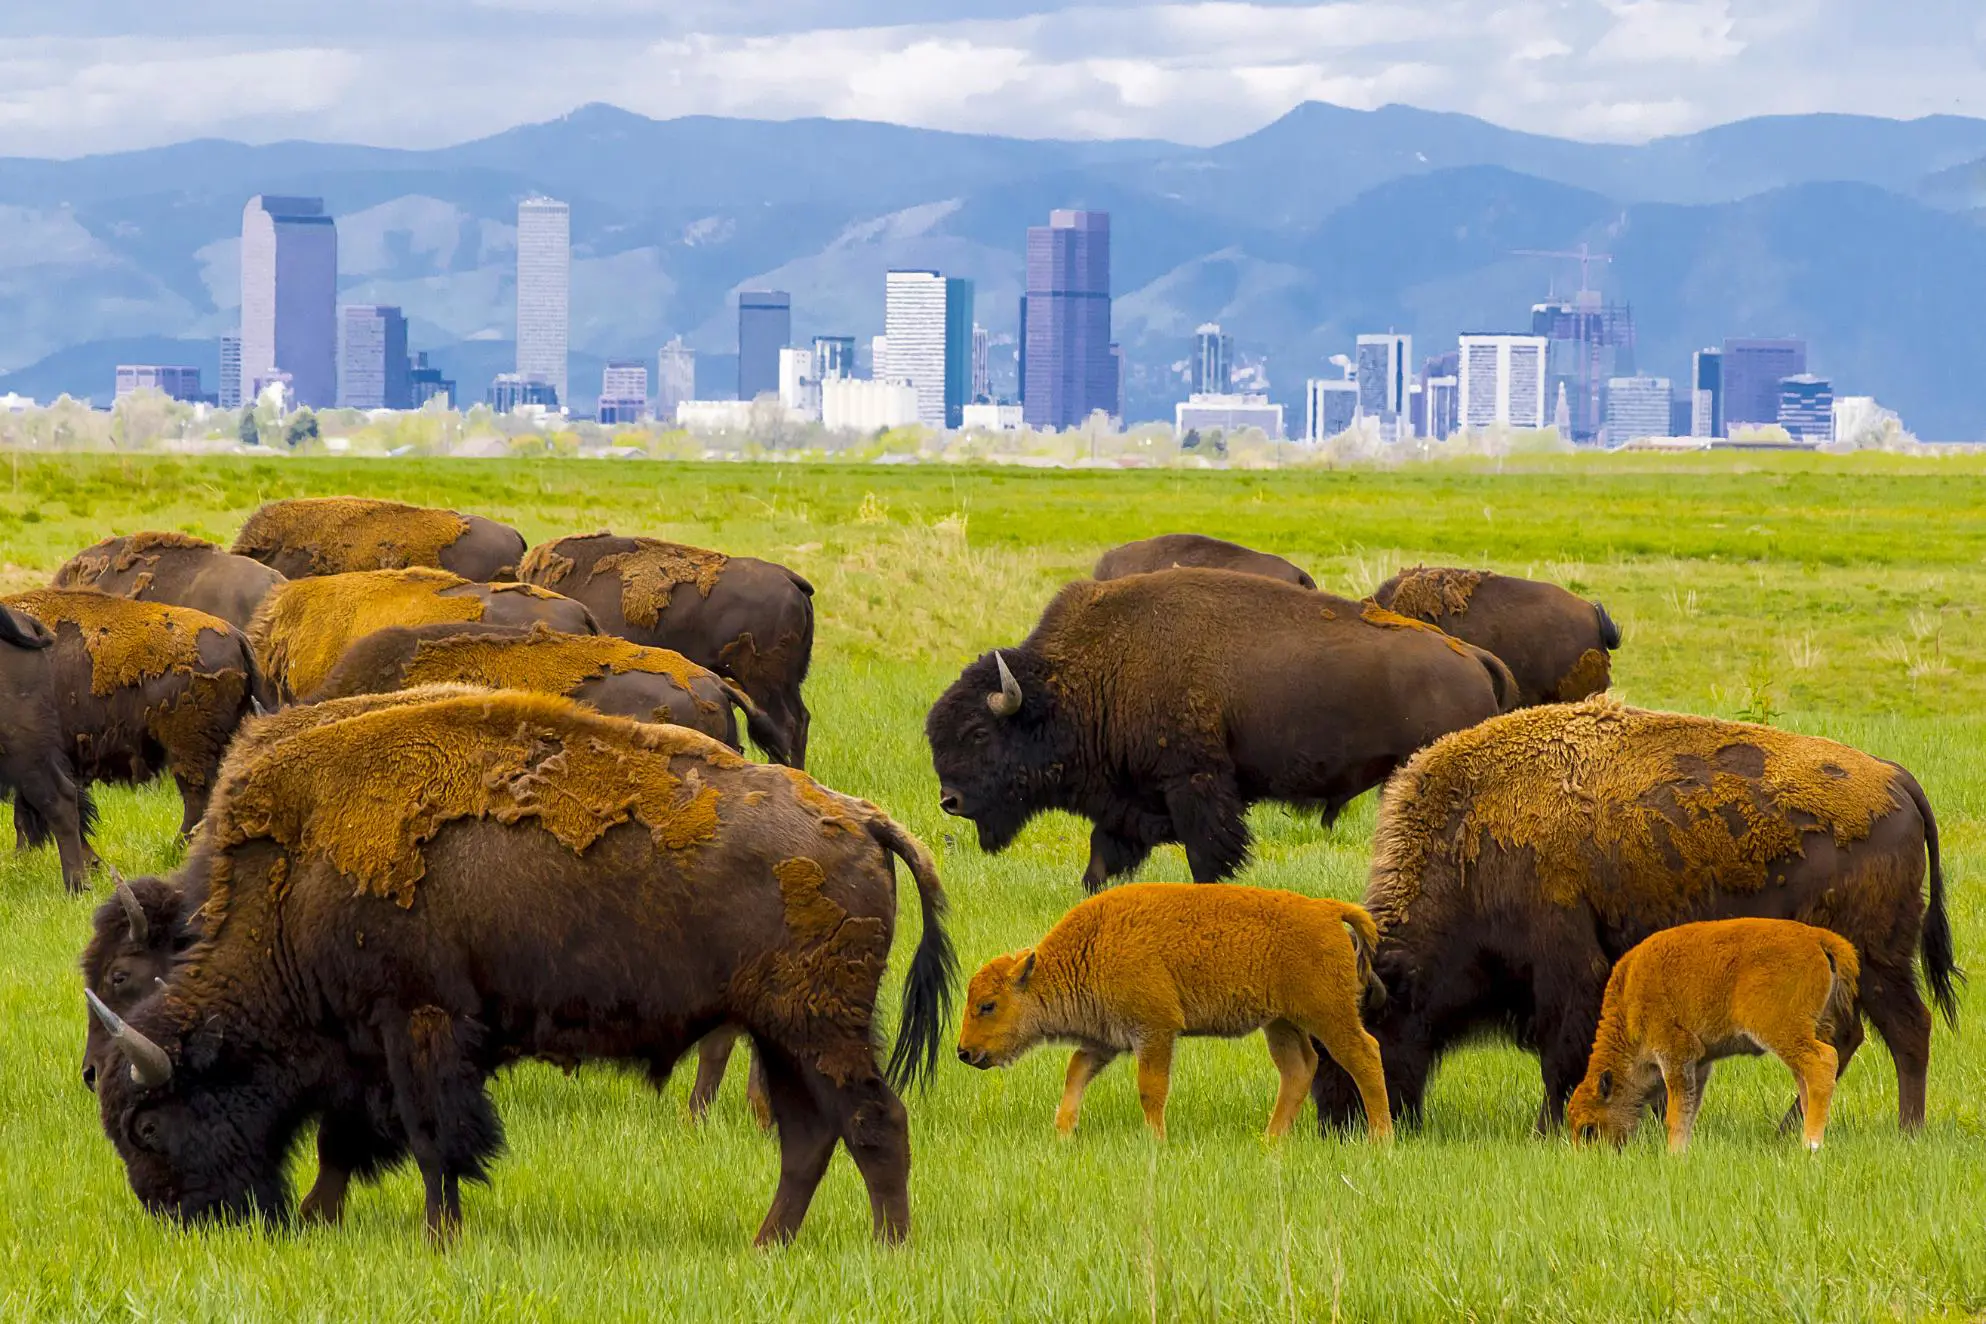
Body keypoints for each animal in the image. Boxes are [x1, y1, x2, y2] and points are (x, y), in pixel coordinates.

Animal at [88, 689, 954, 1244]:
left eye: (148, 1124)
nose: (175, 1216)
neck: (295, 871)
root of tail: (861, 819)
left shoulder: (417, 1023)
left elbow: (432, 1138)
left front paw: (437, 1237)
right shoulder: (366, 1045)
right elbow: (356, 1137)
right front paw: (321, 1217)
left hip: (819, 1029)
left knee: (875, 1122)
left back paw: (890, 1249)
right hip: (780, 1035)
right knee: (810, 1137)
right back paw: (767, 1244)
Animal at [926, 569, 1515, 889]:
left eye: (979, 733)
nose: (950, 801)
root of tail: (1473, 657)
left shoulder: (1196, 784)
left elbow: (1207, 856)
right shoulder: (1128, 803)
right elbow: (1101, 860)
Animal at [1310, 696, 1958, 1135]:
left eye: (1369, 1032)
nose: (1336, 1121)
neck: (1471, 840)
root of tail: (1893, 777)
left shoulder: (1568, 973)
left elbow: (1563, 1056)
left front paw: (1552, 1128)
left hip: (1874, 957)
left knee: (1905, 1031)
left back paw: (1905, 1131)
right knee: (1850, 1038)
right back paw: (1789, 1132)